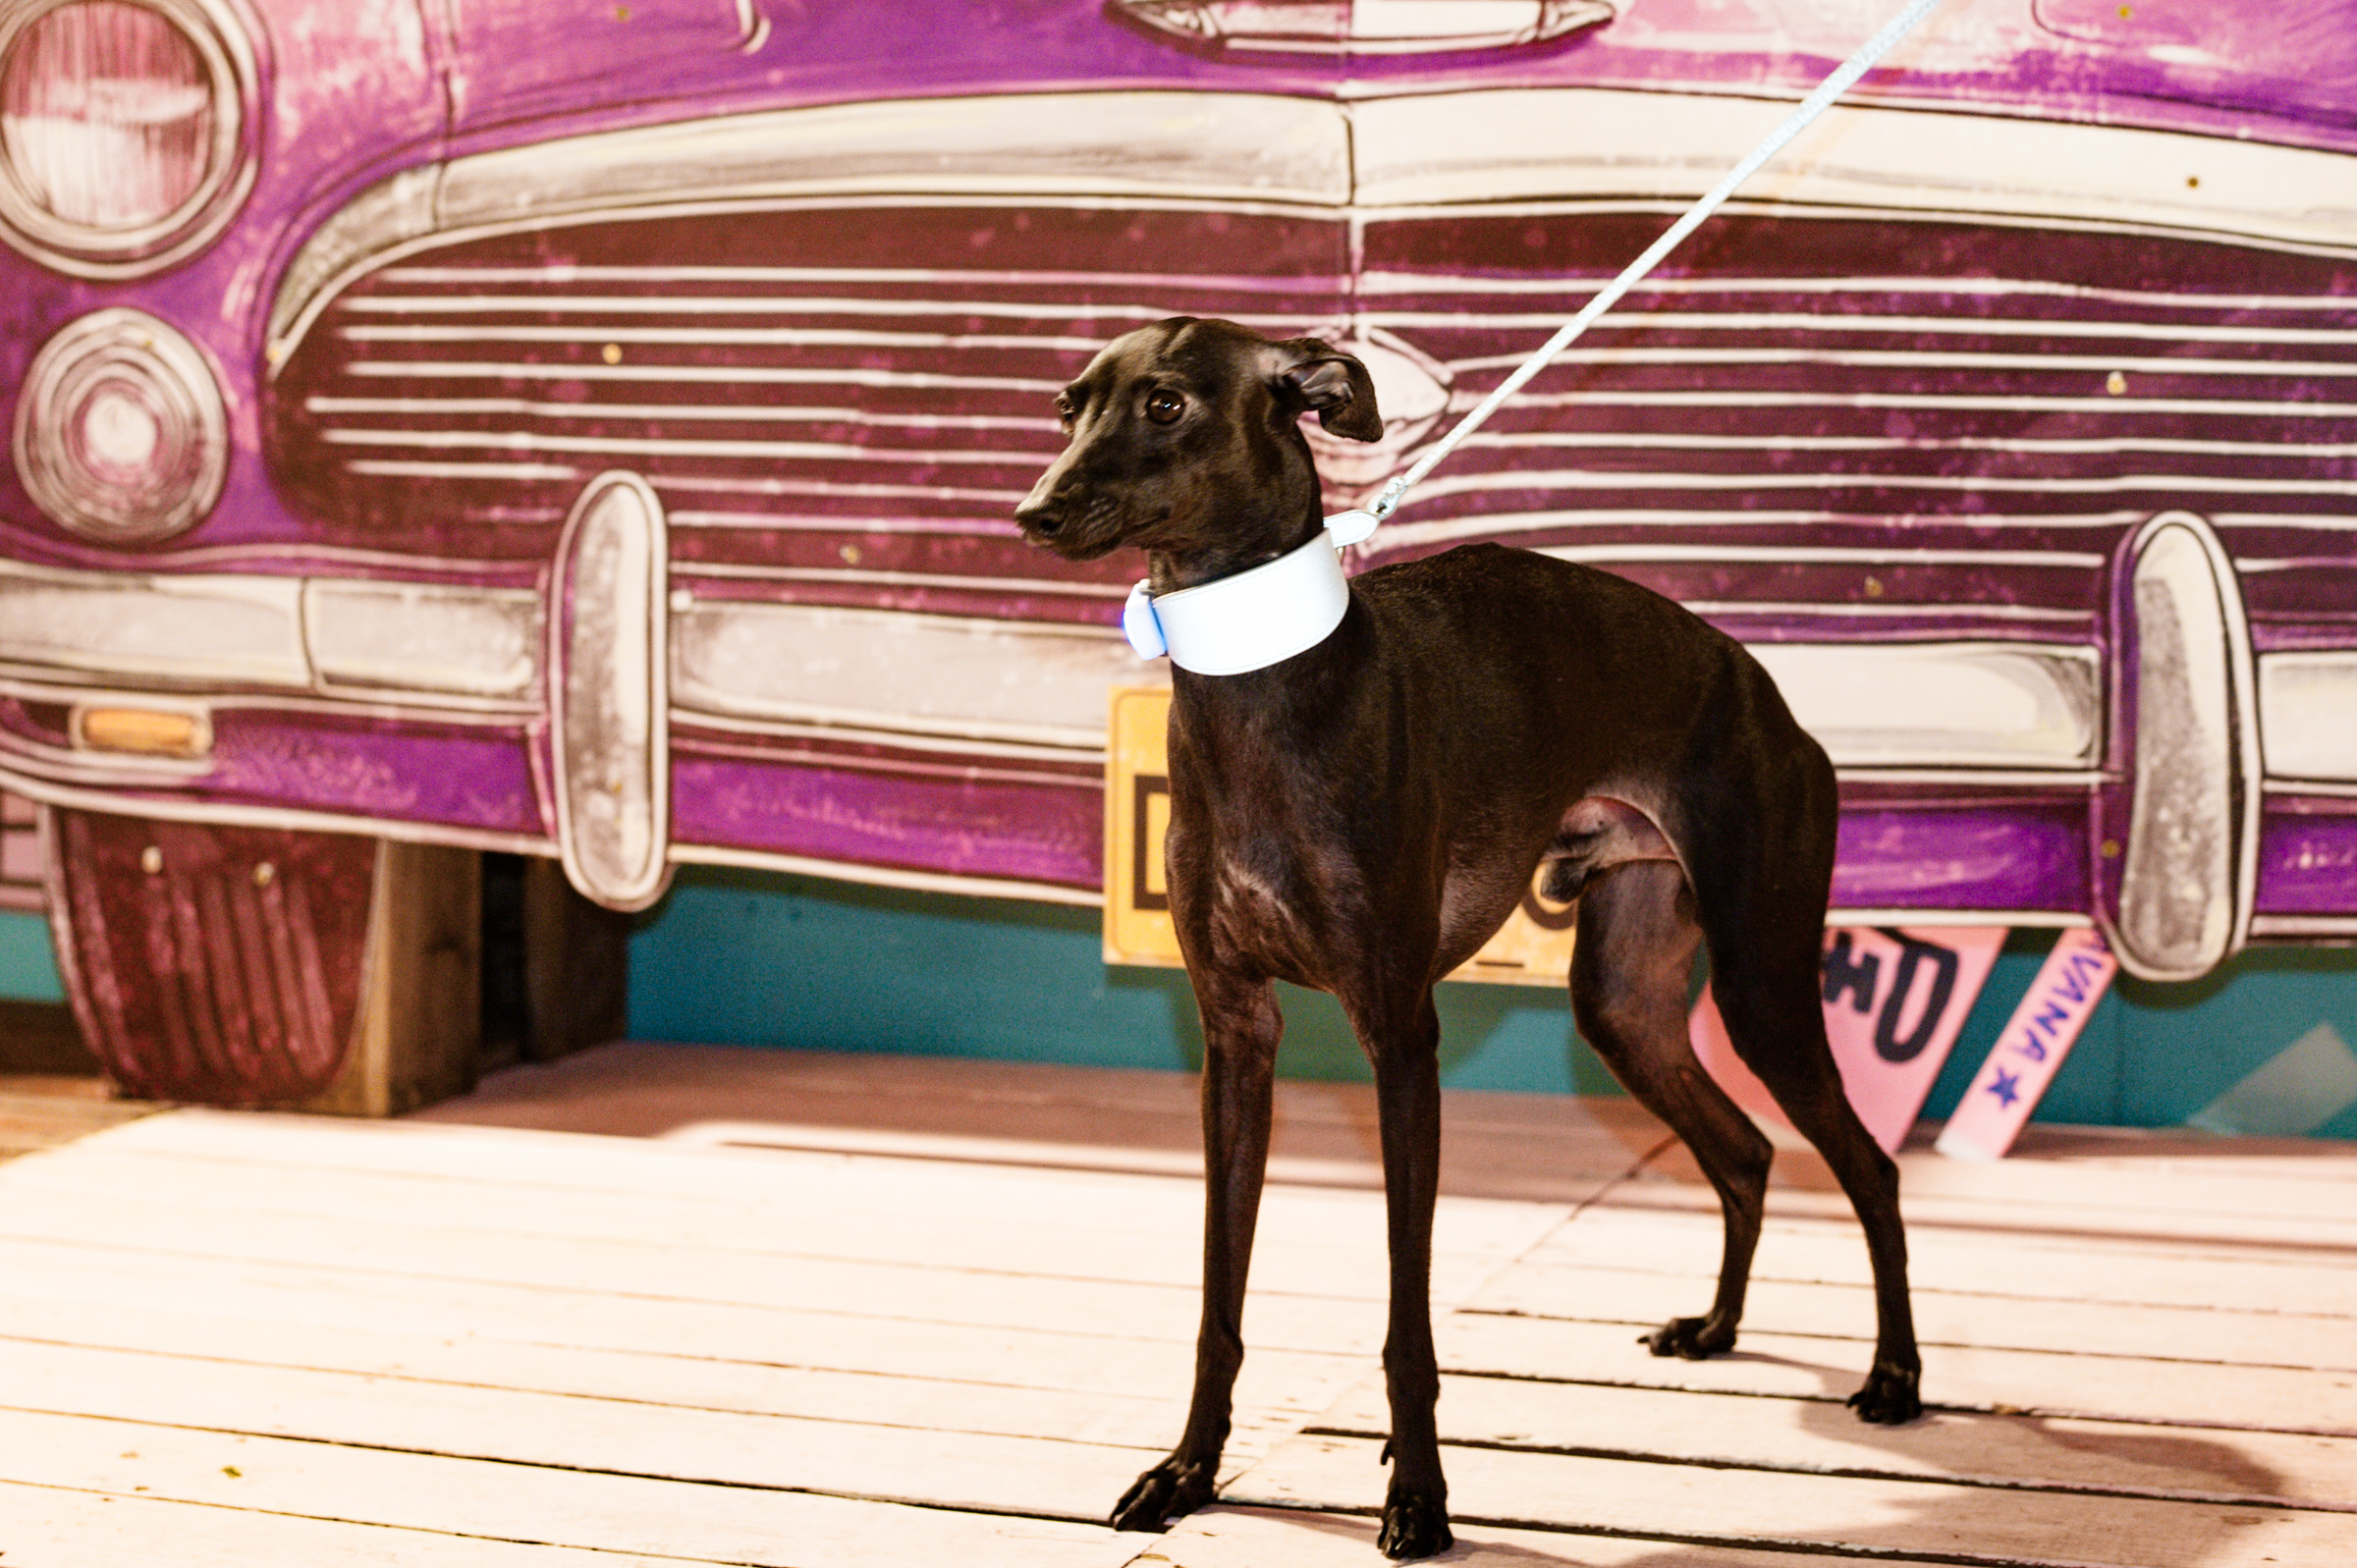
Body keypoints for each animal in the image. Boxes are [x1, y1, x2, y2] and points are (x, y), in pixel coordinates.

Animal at [1013, 317, 1922, 1560]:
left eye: (1165, 403)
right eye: (1070, 406)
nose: (1036, 511)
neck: (1268, 689)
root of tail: (1767, 694)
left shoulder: (1402, 1040)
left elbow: (1408, 1318)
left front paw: (1420, 1496)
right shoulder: (1236, 1037)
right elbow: (1218, 1297)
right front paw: (1188, 1471)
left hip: (1762, 979)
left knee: (1869, 1165)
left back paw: (1896, 1377)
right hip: (1624, 1001)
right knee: (1742, 1150)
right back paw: (1718, 1327)